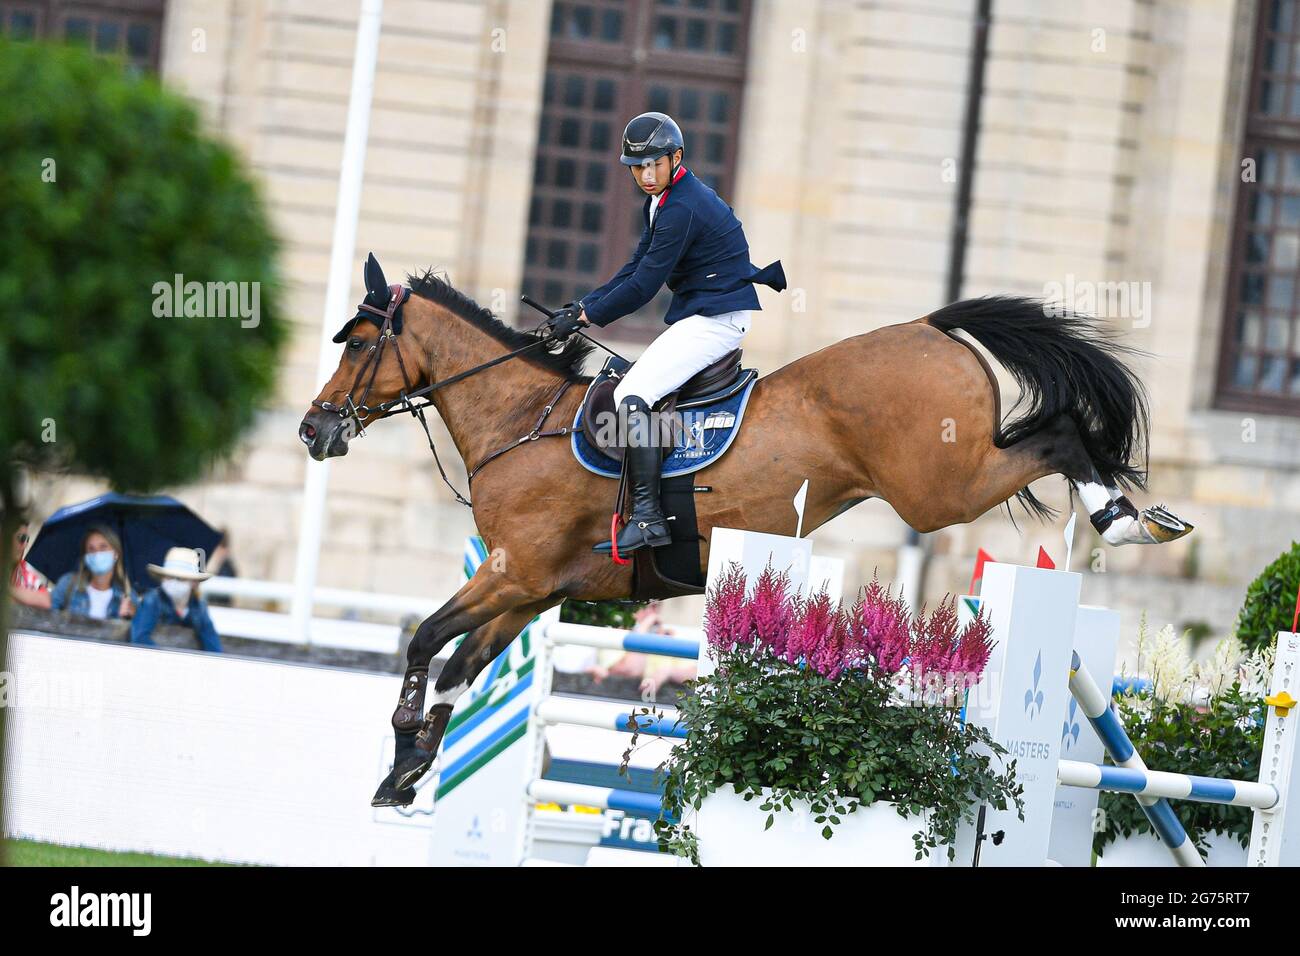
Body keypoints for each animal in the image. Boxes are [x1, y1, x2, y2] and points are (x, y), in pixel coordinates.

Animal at [299, 256, 1190, 806]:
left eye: (358, 342)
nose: (313, 430)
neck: (523, 421)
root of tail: (931, 326)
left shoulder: (512, 573)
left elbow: (424, 639)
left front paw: (403, 744)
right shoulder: (530, 591)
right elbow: (459, 668)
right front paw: (409, 772)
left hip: (941, 489)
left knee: (1061, 434)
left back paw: (1126, 521)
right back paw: (1141, 517)